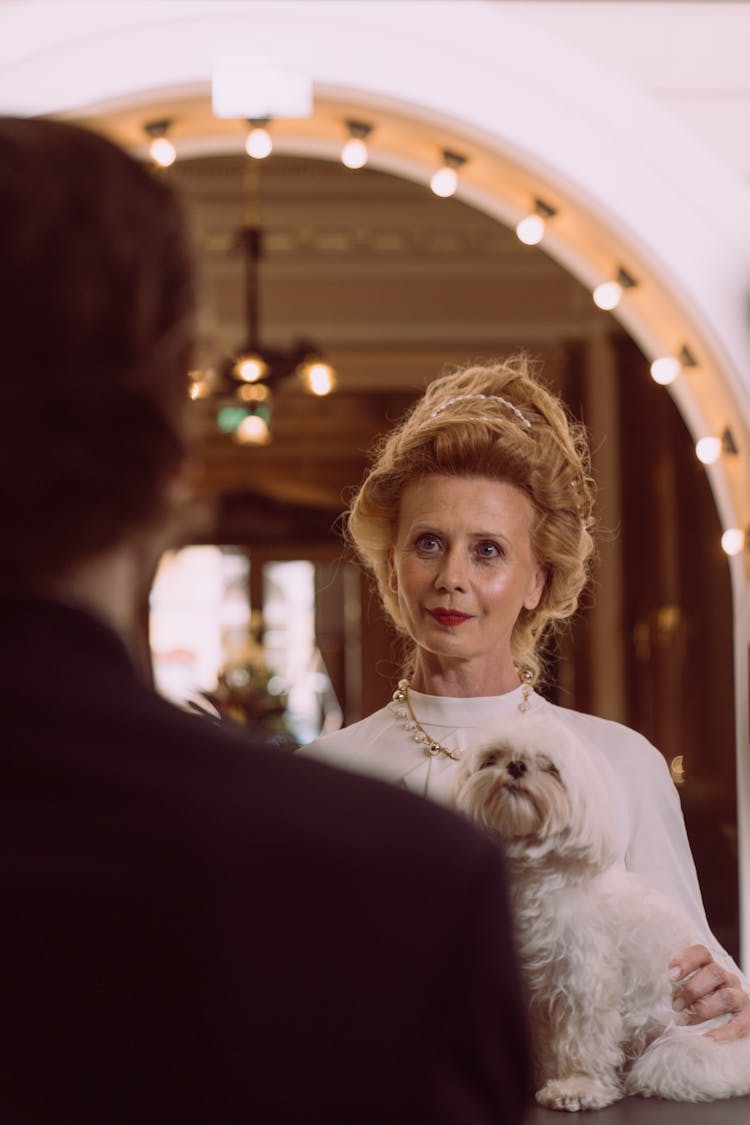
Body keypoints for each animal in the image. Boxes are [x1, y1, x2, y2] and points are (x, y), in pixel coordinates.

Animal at [452, 711, 750, 1107]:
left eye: (550, 767)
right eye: (492, 759)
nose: (515, 766)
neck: (536, 873)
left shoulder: (583, 976)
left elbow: (583, 1038)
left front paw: (577, 1087)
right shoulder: (529, 987)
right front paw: (537, 1077)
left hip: (679, 1052)